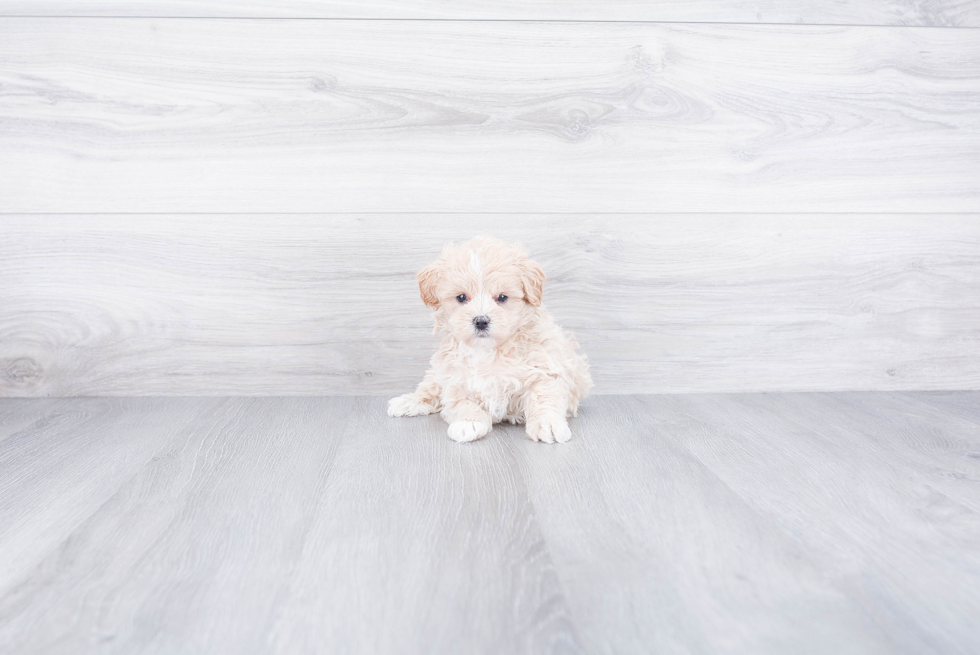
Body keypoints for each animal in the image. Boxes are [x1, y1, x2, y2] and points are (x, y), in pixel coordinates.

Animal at [388, 237, 588, 446]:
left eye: (502, 297)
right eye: (461, 297)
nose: (481, 321)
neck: (487, 350)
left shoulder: (545, 368)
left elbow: (544, 397)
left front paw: (548, 424)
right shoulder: (456, 378)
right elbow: (465, 403)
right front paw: (468, 422)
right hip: (438, 371)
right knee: (430, 387)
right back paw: (407, 401)